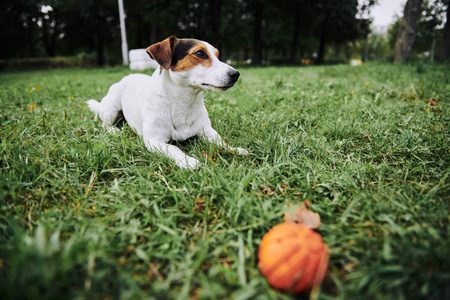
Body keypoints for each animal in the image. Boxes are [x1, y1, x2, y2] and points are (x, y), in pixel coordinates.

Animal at [87, 35, 250, 169]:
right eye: (199, 53)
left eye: (217, 55)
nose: (236, 74)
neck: (183, 102)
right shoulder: (154, 141)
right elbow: (174, 148)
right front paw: (189, 161)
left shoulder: (207, 130)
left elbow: (220, 141)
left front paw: (234, 149)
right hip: (110, 110)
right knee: (104, 124)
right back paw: (114, 130)